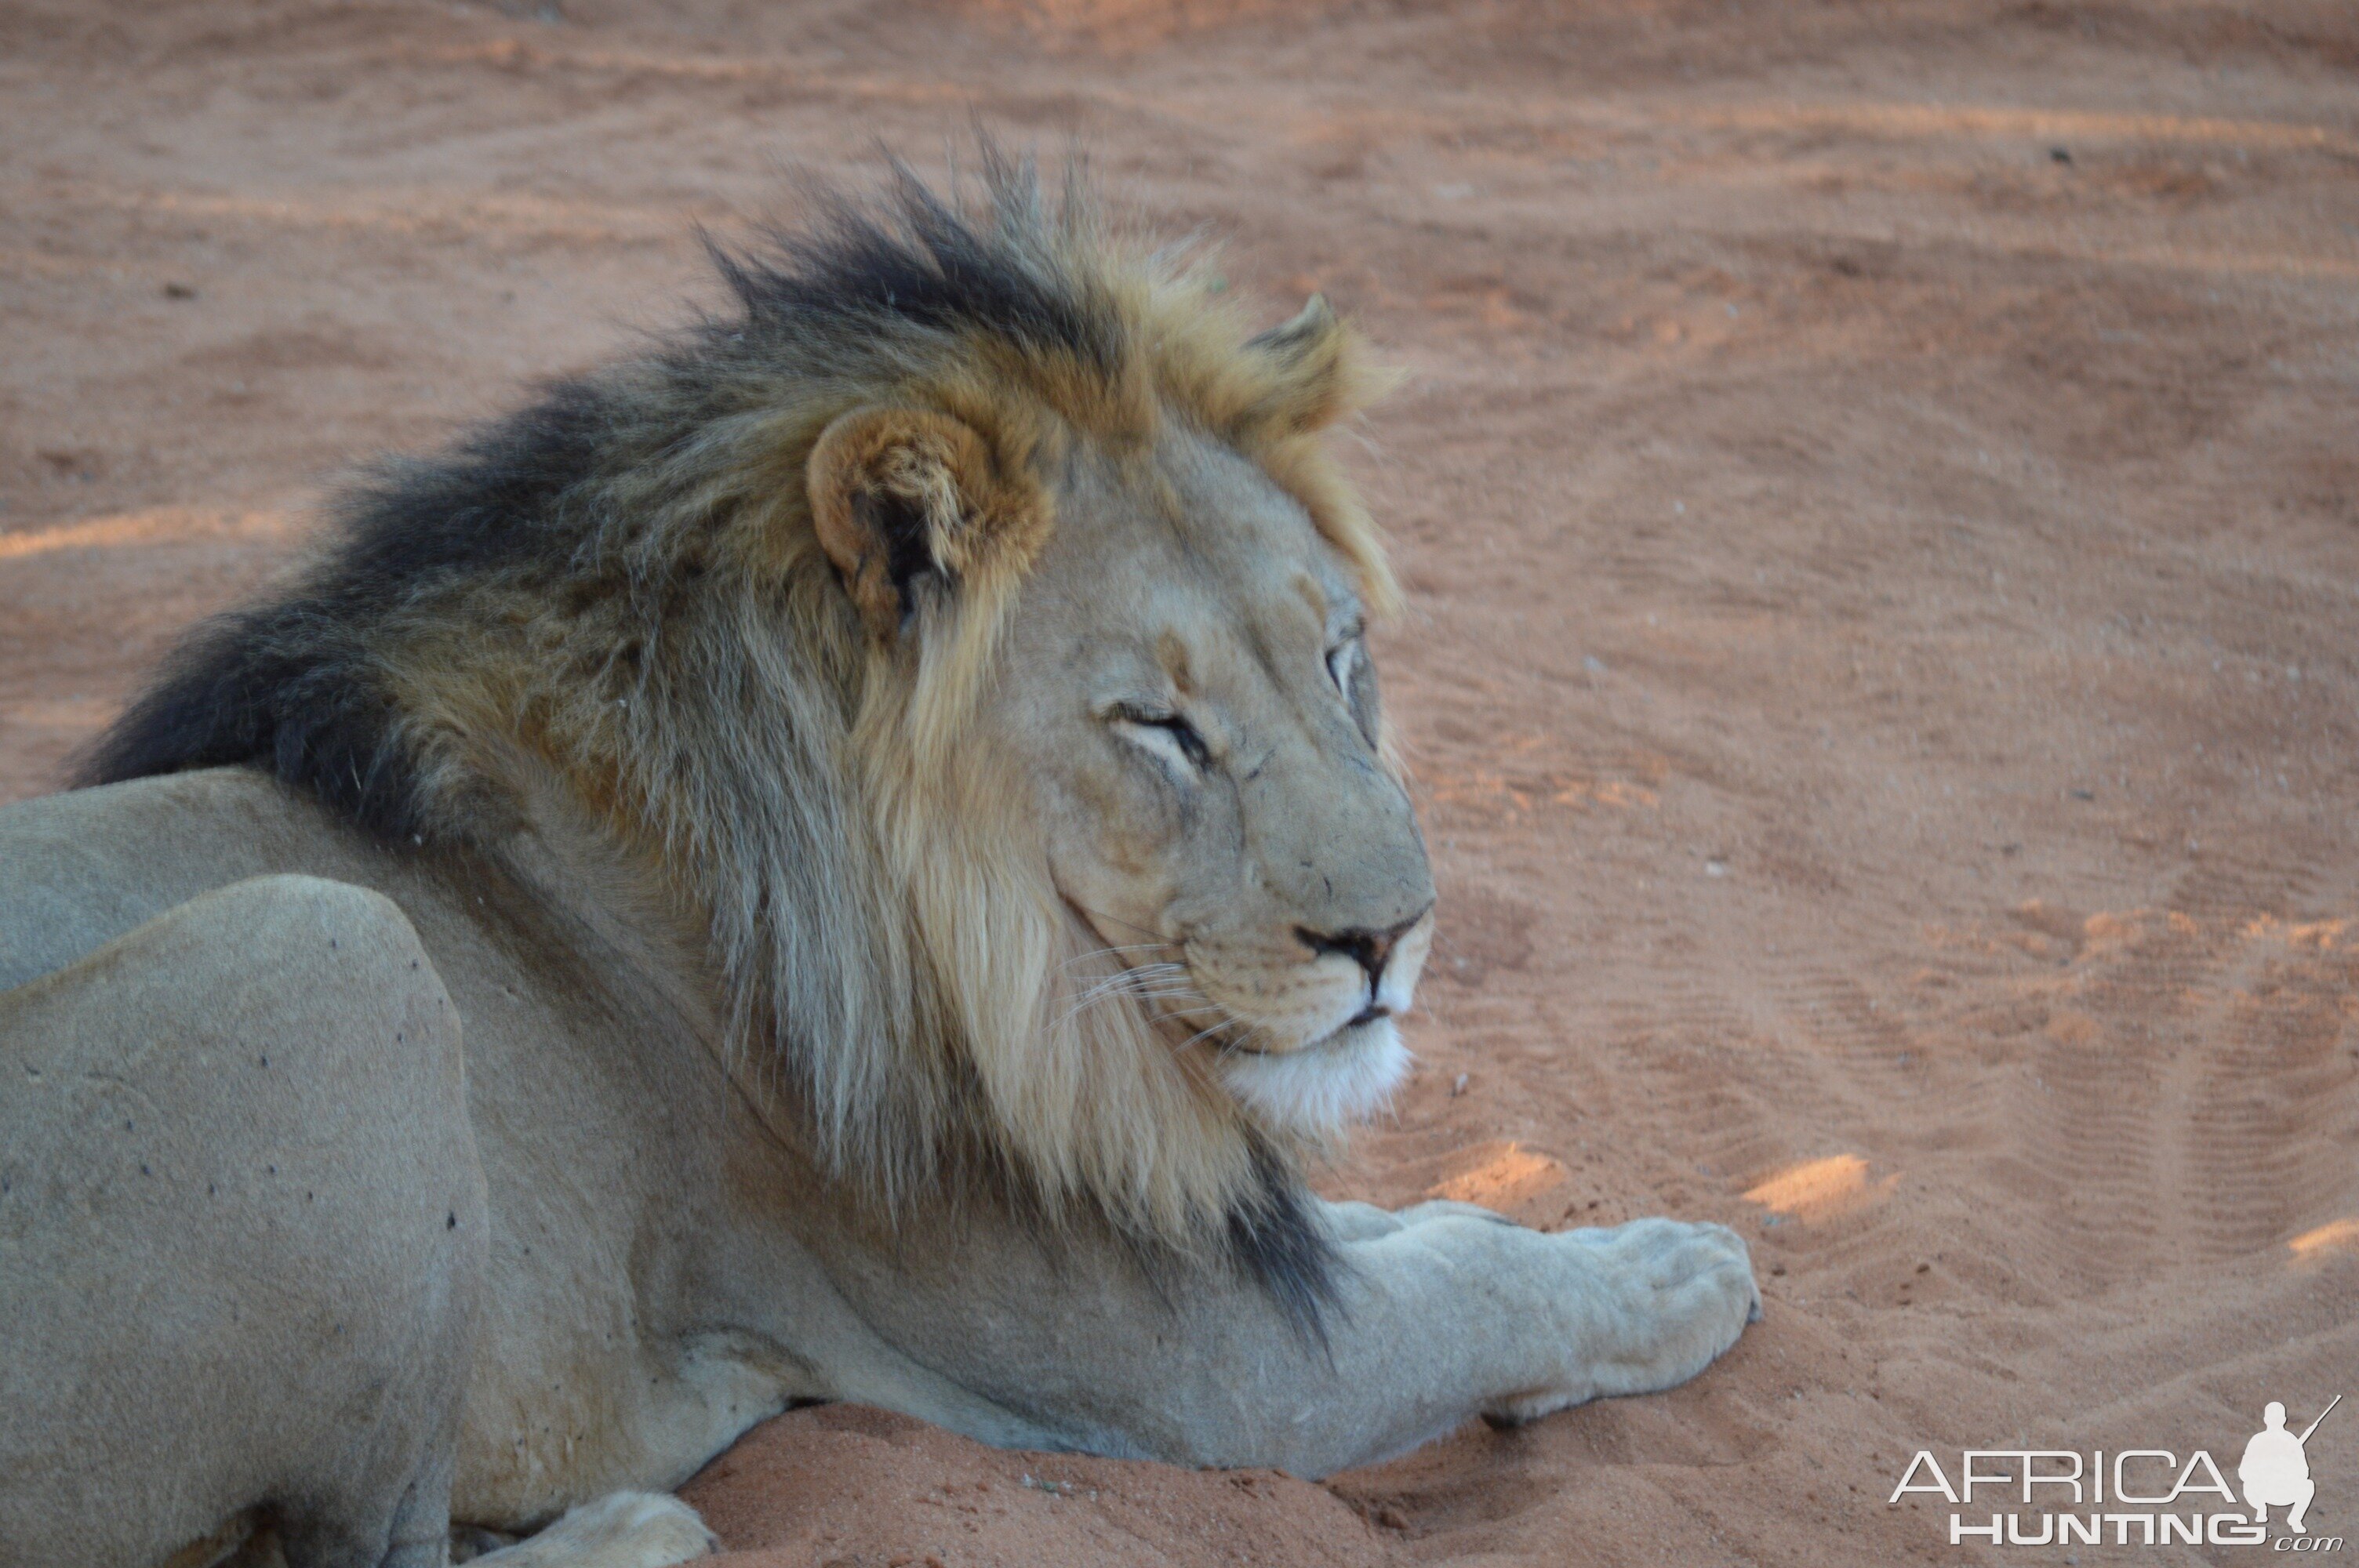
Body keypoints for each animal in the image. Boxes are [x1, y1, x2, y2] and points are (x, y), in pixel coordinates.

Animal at [0, 155, 1754, 1565]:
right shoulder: (1211, 1380)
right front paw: (1686, 1269)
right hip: (331, 953)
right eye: (1158, 727)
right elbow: (1474, 1290)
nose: (1396, 937)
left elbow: (1434, 1230)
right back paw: (644, 1522)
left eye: (1338, 658)